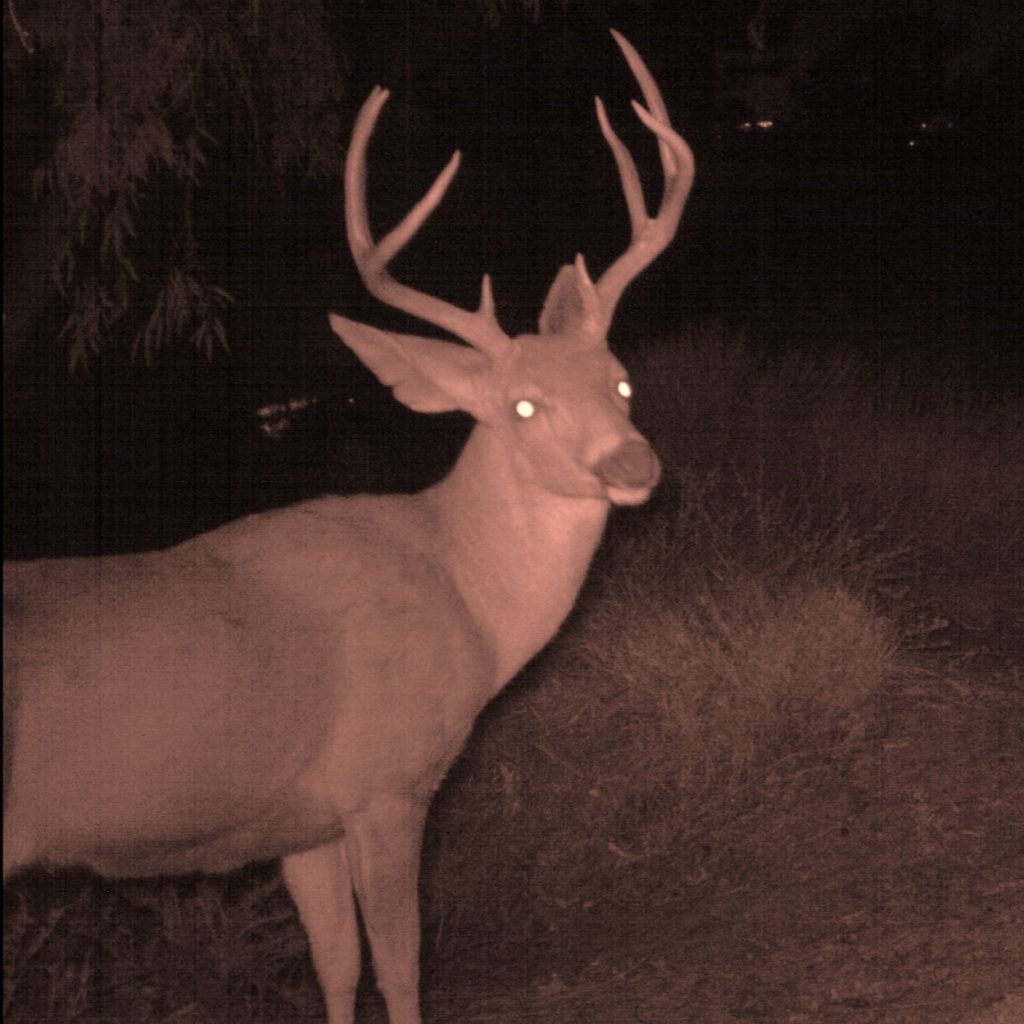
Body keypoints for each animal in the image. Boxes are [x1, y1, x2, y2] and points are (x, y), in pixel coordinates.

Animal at [3, 29, 693, 1024]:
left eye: (623, 382)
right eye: (524, 406)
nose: (631, 465)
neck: (466, 600)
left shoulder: (305, 821)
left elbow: (336, 965)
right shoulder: (386, 781)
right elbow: (401, 964)